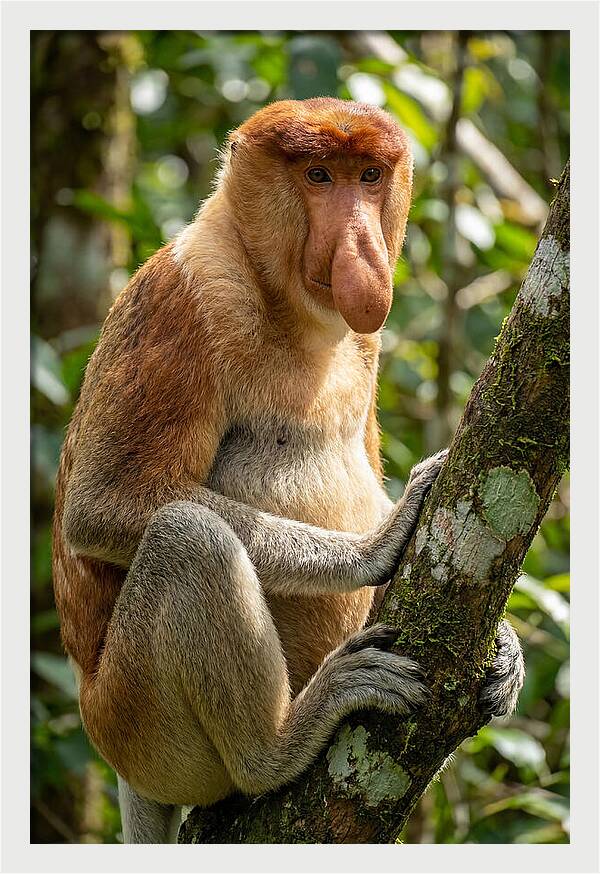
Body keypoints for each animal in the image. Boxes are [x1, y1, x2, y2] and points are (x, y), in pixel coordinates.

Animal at [51, 98, 524, 844]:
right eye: (318, 176)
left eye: (368, 176)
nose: (360, 247)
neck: (291, 308)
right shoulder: (183, 299)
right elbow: (103, 504)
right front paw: (377, 544)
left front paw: (507, 648)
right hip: (136, 725)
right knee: (188, 539)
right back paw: (279, 745)